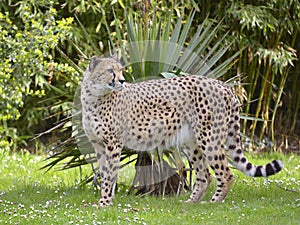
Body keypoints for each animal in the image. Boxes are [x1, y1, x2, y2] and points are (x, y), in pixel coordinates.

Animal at [81, 55, 284, 207]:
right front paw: (105, 201)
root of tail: (223, 85)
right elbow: (105, 172)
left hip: (209, 138)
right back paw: (191, 202)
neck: (94, 97)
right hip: (191, 142)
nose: (122, 80)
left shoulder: (113, 143)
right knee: (204, 174)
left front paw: (104, 203)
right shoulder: (98, 145)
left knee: (226, 174)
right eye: (110, 70)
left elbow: (109, 174)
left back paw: (213, 202)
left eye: (121, 70)